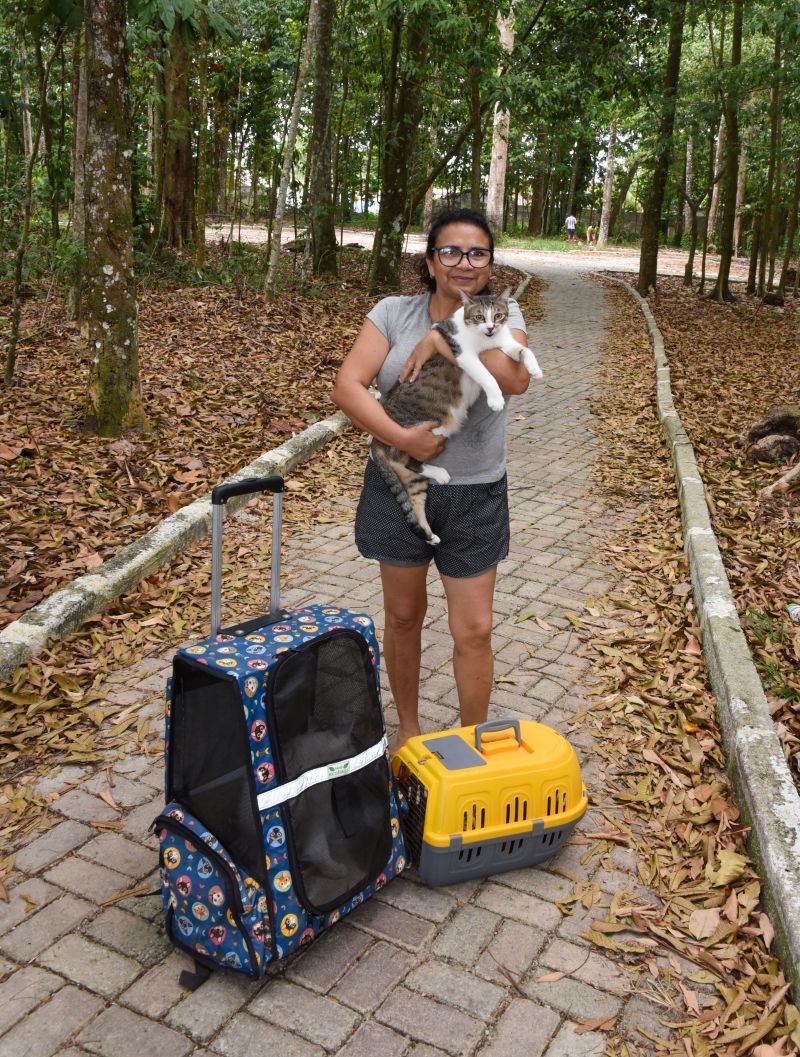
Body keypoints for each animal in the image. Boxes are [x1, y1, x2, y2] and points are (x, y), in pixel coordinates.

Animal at [371, 287, 541, 545]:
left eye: (498, 315)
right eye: (480, 317)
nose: (490, 328)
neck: (486, 341)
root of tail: (376, 440)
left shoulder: (505, 342)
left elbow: (524, 349)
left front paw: (535, 369)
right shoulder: (464, 354)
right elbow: (486, 374)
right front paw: (495, 399)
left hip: (415, 479)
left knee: (414, 495)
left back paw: (430, 535)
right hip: (419, 430)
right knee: (404, 459)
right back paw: (439, 472)